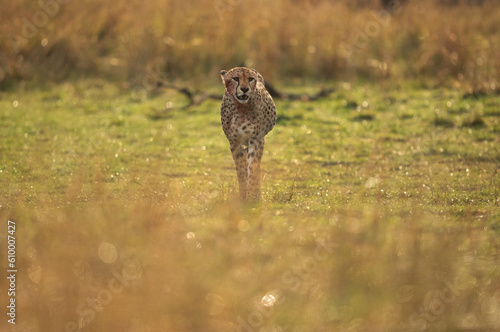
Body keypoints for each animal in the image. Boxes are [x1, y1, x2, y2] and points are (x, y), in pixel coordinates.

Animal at [221, 67, 278, 200]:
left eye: (250, 79)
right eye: (235, 78)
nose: (244, 89)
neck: (240, 107)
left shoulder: (255, 139)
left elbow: (253, 167)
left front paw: (252, 196)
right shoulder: (234, 142)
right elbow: (241, 169)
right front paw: (243, 195)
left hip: (261, 140)